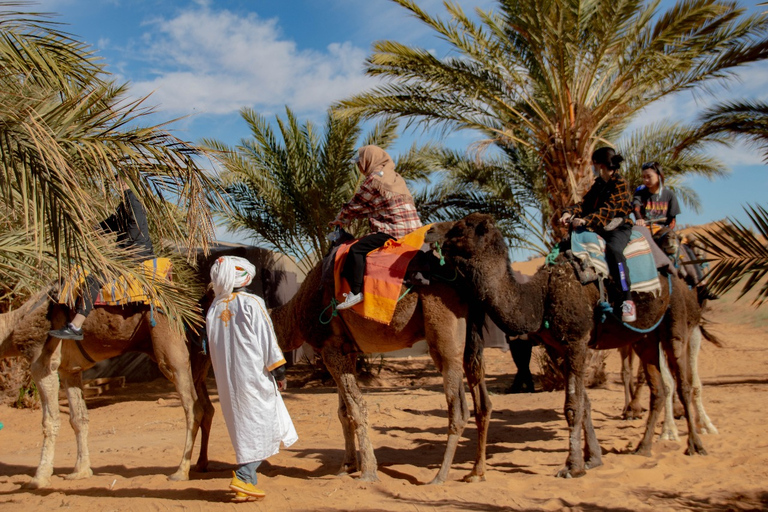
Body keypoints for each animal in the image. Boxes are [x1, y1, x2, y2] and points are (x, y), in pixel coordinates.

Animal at [0, 290, 204, 490]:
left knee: (193, 407)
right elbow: (79, 419)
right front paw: (80, 471)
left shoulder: (42, 362)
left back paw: (181, 472)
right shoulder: (70, 370)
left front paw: (39, 478)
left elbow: (50, 421)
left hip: (170, 347)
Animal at [426, 212, 708, 476]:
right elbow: (585, 404)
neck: (540, 297)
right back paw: (644, 446)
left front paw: (572, 466)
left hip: (674, 320)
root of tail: (674, 268)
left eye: (461, 226)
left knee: (683, 381)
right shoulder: (558, 349)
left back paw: (695, 445)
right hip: (644, 337)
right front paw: (593, 458)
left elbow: (573, 406)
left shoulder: (576, 341)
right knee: (657, 388)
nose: (430, 231)